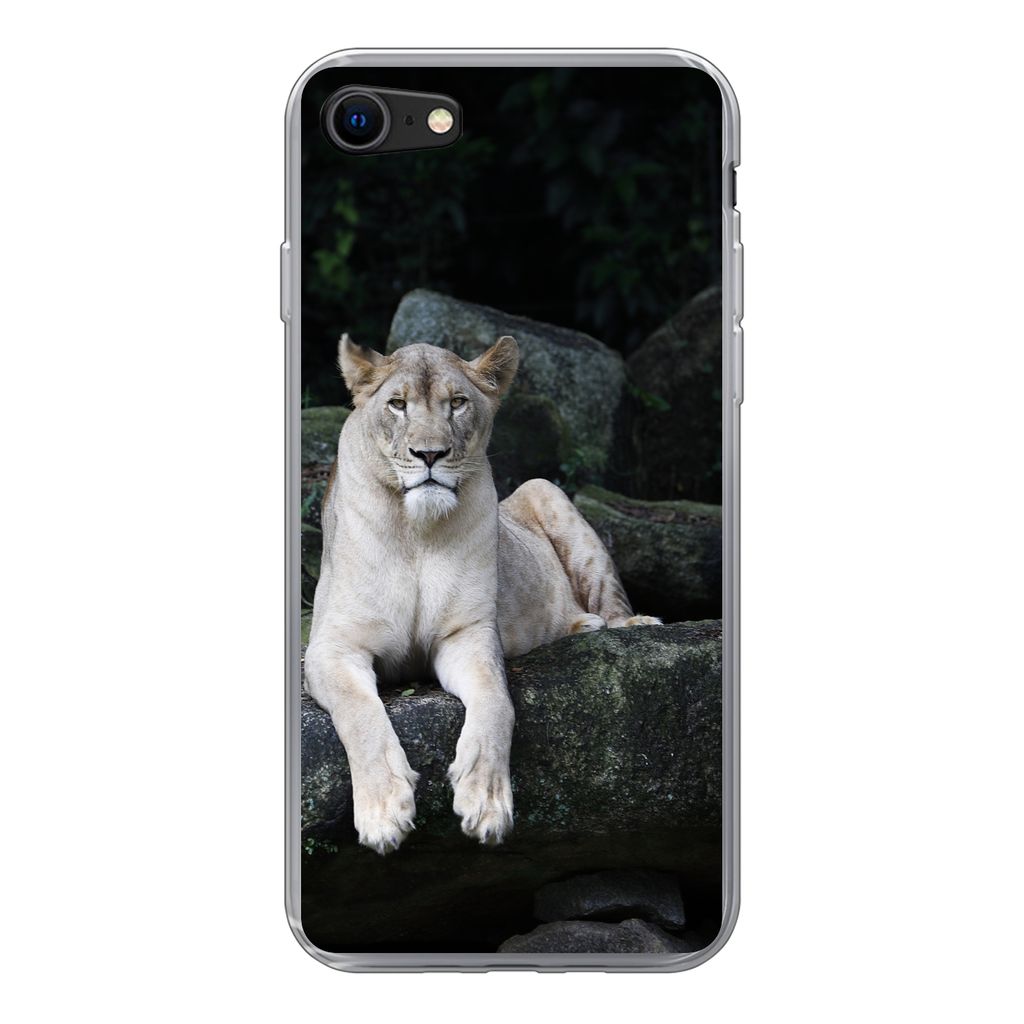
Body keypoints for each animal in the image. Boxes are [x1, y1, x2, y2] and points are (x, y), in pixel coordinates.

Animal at [304, 333, 659, 855]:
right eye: (397, 404)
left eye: (456, 403)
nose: (430, 454)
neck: (417, 532)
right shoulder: (331, 647)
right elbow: (360, 714)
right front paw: (385, 812)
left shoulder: (467, 635)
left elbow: (496, 702)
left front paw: (486, 802)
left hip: (545, 490)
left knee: (610, 601)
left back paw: (619, 623)